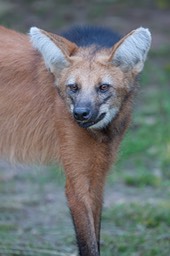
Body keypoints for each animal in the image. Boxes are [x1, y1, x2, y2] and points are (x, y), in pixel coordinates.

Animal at [0, 24, 151, 256]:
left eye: (103, 87)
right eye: (73, 87)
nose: (80, 114)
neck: (101, 131)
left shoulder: (97, 178)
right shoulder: (77, 185)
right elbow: (88, 244)